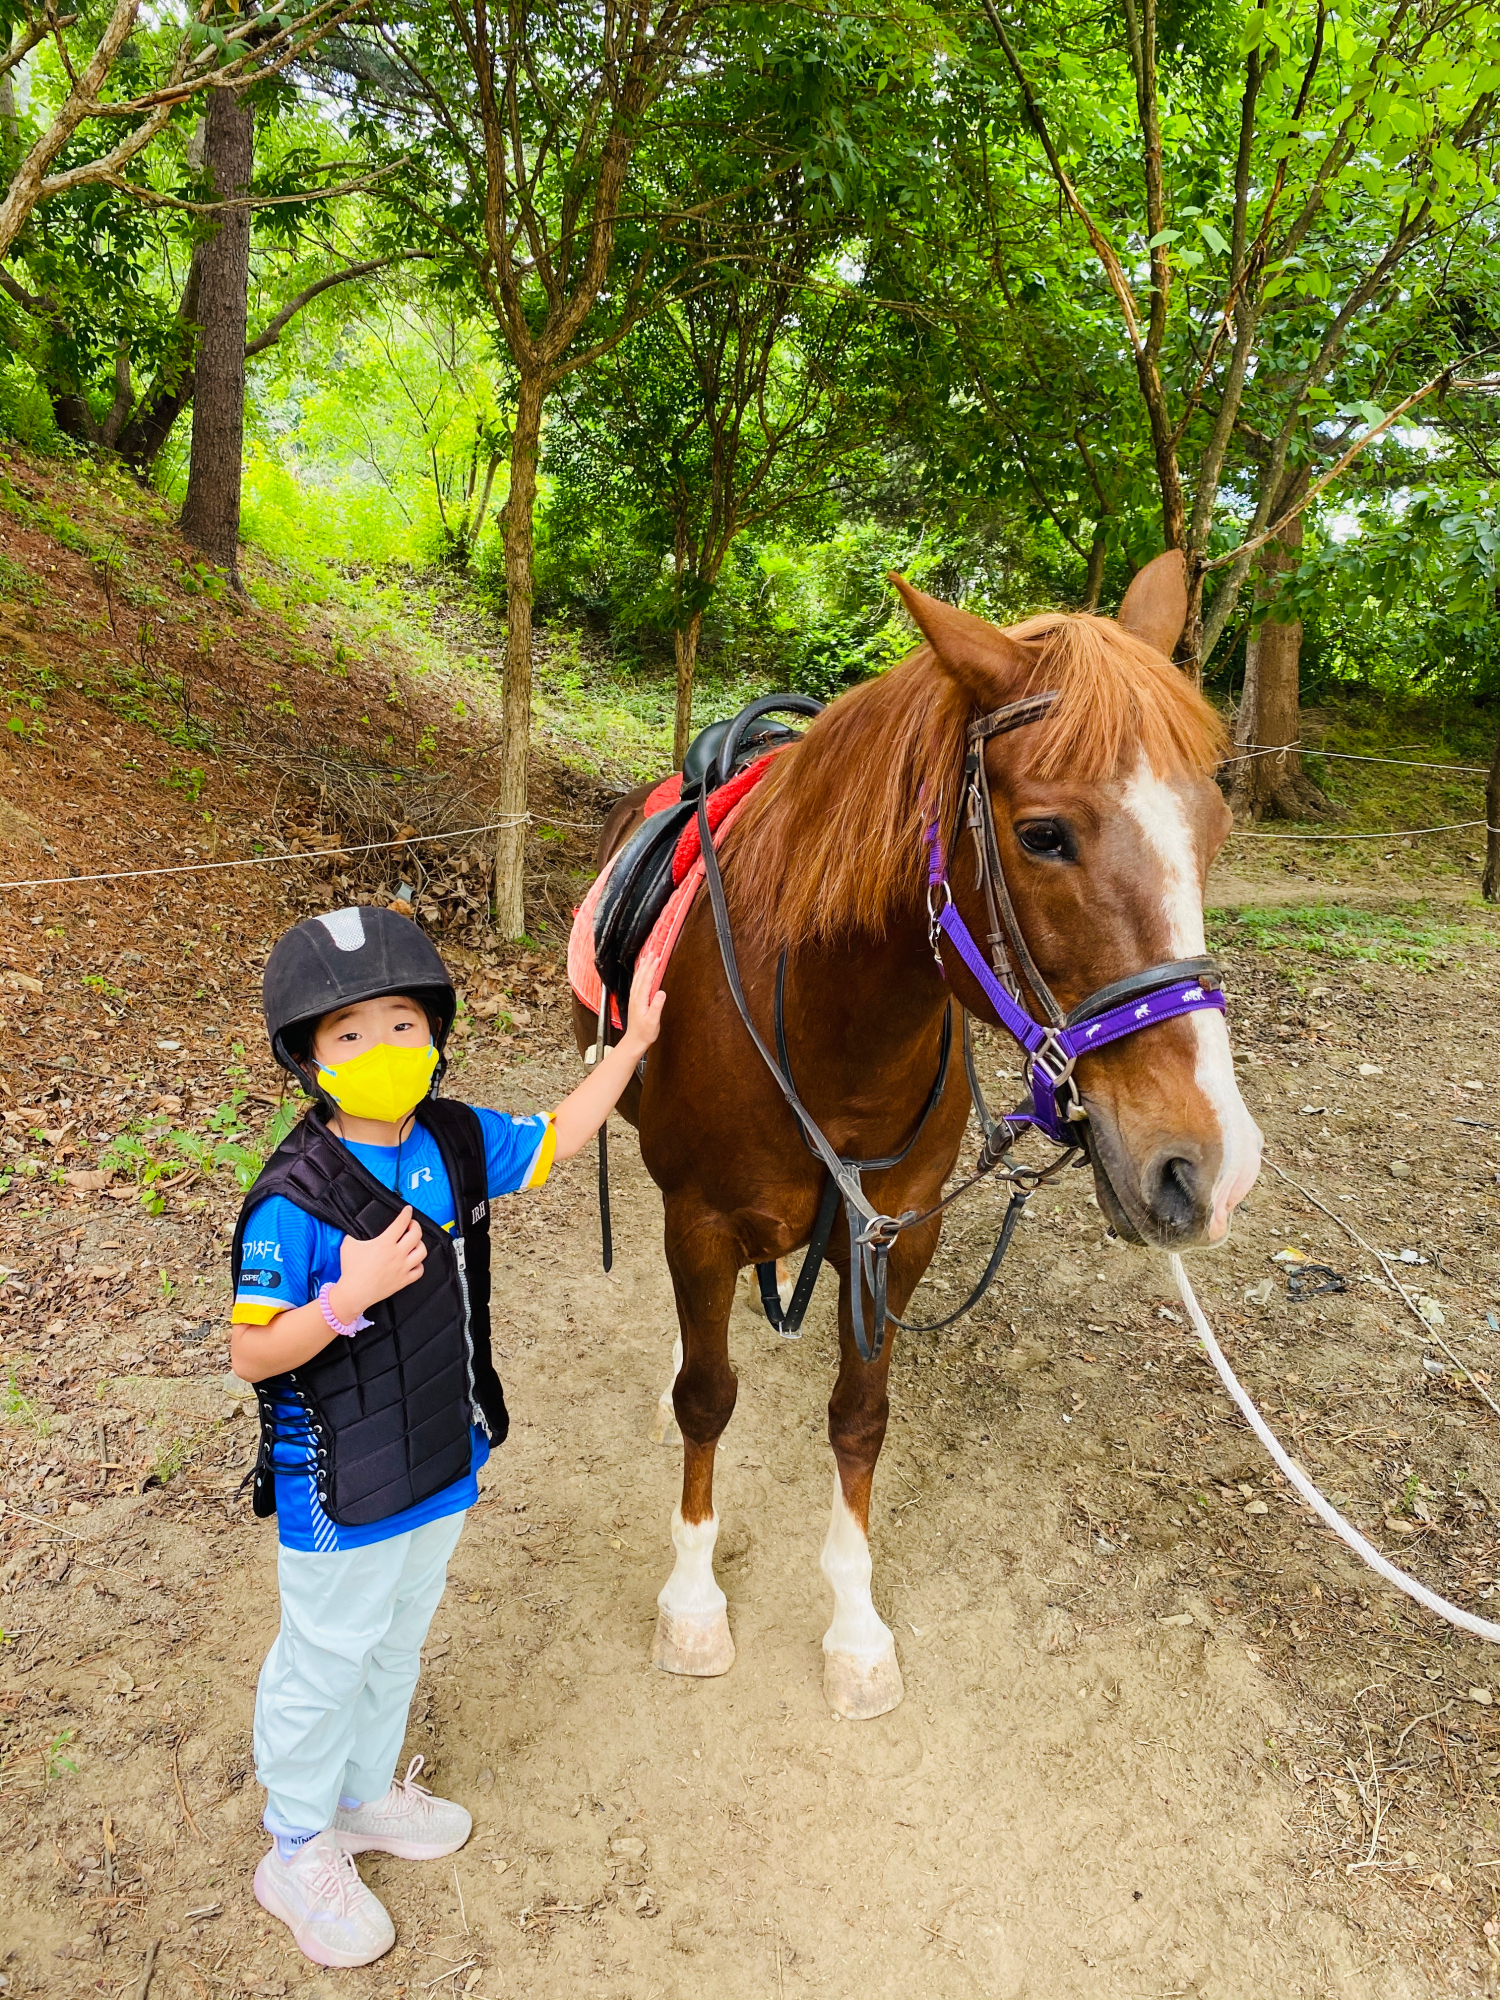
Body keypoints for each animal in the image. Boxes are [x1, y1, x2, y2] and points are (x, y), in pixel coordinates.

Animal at [576, 556, 1272, 1728]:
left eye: (1214, 828)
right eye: (1043, 834)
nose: (1208, 1167)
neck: (831, 1028)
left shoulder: (894, 1234)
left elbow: (861, 1417)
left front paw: (856, 1629)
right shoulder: (701, 1219)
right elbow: (707, 1397)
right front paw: (693, 1603)